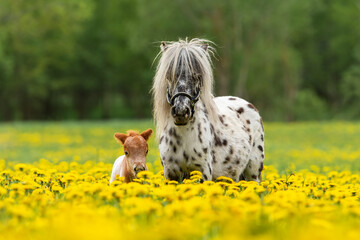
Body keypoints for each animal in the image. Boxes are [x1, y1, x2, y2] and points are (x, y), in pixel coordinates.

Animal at [151, 38, 264, 183]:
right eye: (168, 76)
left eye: (197, 76)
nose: (181, 111)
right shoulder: (170, 173)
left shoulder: (203, 172)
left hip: (253, 173)